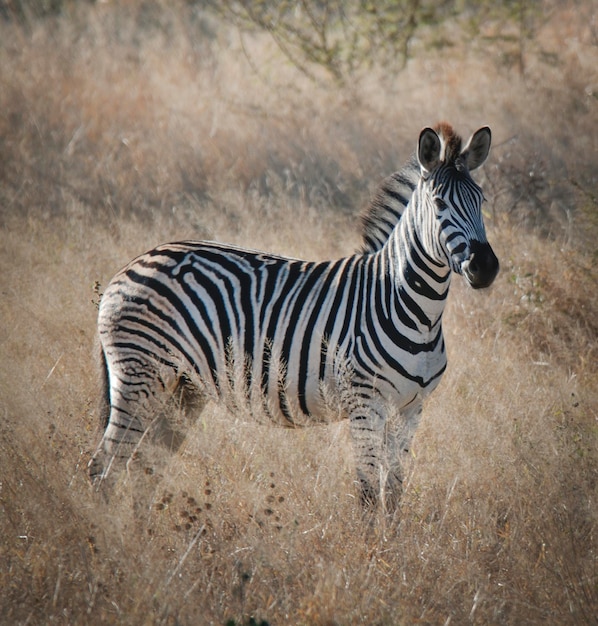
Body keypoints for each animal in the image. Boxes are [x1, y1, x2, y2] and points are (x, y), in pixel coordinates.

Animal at [90, 123, 502, 512]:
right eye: (439, 203)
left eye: (481, 200)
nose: (485, 267)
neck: (410, 307)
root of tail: (129, 266)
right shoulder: (366, 405)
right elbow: (369, 495)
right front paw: (368, 543)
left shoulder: (411, 410)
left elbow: (394, 493)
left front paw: (392, 542)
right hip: (140, 375)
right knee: (104, 468)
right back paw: (109, 534)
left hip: (182, 387)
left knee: (144, 466)